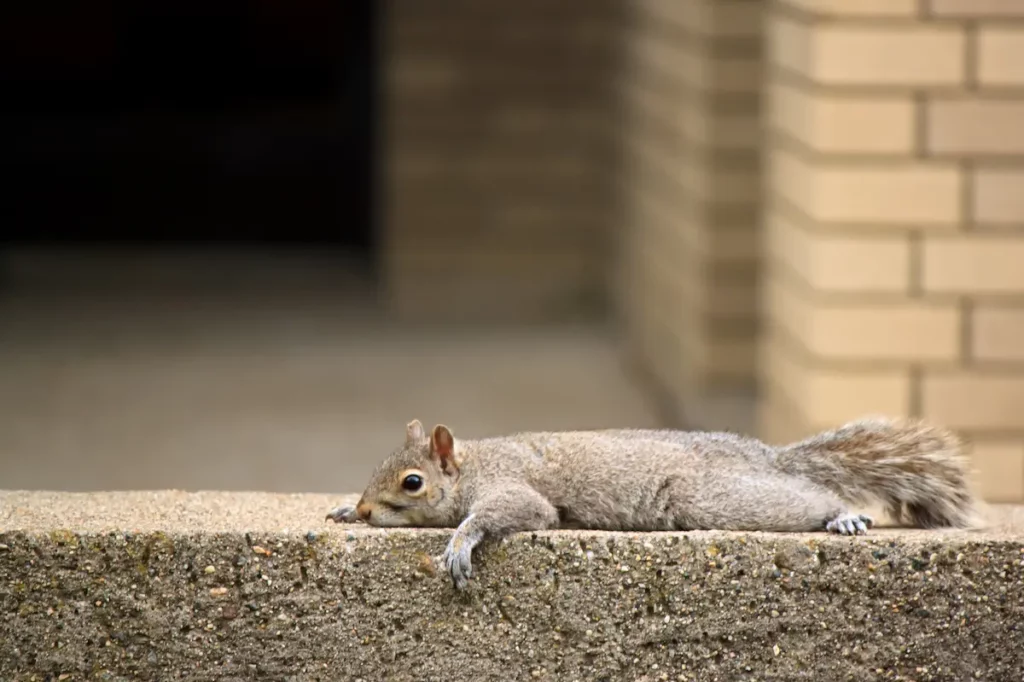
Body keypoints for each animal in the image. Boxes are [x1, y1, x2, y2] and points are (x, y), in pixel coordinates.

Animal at [325, 411, 974, 585]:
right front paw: (341, 509)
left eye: (412, 482)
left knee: (801, 496)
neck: (473, 465)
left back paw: (842, 516)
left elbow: (517, 513)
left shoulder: (514, 490)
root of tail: (765, 457)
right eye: (376, 470)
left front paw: (461, 542)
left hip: (717, 498)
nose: (365, 509)